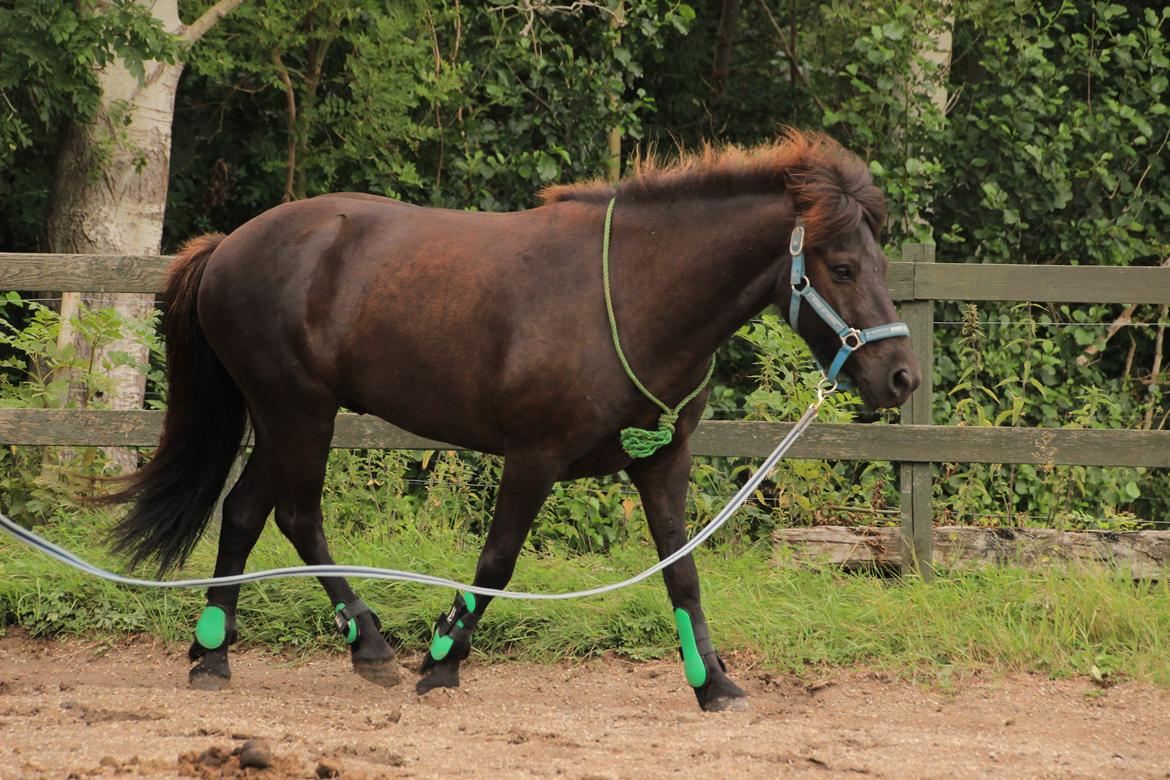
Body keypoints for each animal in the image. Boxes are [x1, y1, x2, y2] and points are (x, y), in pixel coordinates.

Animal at [105, 130, 917, 711]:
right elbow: (497, 563)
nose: (901, 376)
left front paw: (713, 685)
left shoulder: (662, 461)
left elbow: (682, 574)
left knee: (246, 513)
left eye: (879, 263)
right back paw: (364, 647)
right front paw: (442, 660)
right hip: (298, 414)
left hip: (286, 419)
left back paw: (217, 652)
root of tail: (228, 247)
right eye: (843, 266)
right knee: (296, 517)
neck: (632, 294)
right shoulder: (534, 457)